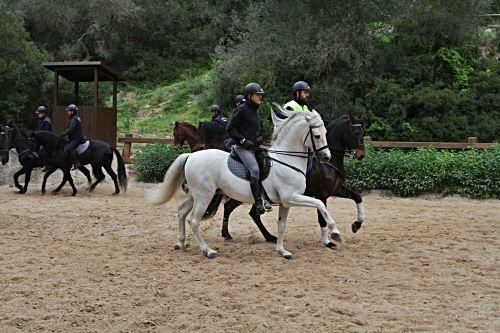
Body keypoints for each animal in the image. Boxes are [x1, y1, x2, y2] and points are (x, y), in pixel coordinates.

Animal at [146, 107, 342, 258]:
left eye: (325, 133)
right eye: (317, 135)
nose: (327, 157)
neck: (287, 160)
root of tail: (191, 155)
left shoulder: (286, 202)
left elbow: (281, 225)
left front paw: (282, 251)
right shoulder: (292, 197)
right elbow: (320, 205)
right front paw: (335, 232)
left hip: (199, 195)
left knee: (181, 211)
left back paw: (180, 243)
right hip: (204, 196)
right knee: (194, 220)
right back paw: (208, 250)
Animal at [221, 113, 366, 246]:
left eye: (363, 133)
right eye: (355, 133)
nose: (361, 155)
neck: (328, 164)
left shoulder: (335, 189)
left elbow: (357, 197)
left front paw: (357, 224)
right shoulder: (322, 194)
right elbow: (322, 218)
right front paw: (328, 241)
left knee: (246, 212)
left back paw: (267, 237)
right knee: (233, 208)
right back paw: (228, 234)